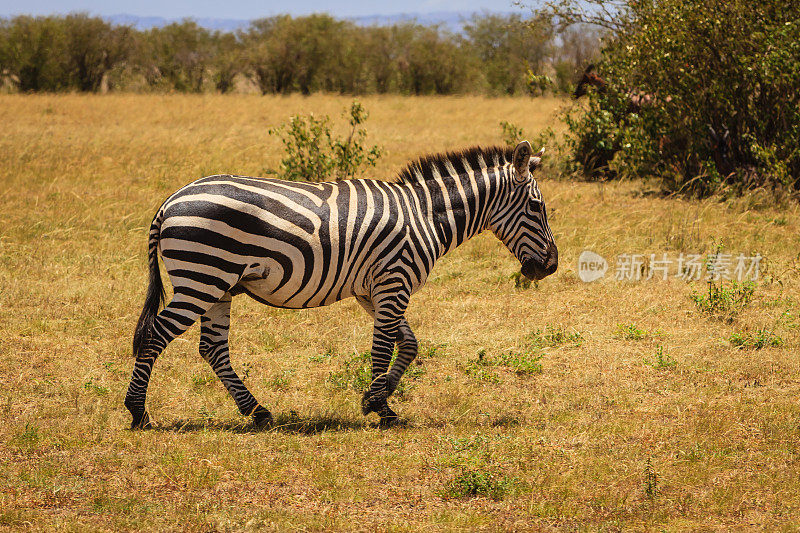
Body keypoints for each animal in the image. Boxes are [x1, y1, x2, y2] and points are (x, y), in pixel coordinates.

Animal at [126, 140, 556, 428]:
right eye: (538, 207)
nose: (551, 266)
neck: (426, 215)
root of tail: (169, 202)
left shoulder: (373, 290)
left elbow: (409, 344)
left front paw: (376, 400)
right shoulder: (394, 281)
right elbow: (383, 348)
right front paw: (380, 409)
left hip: (218, 285)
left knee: (212, 348)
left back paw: (258, 412)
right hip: (202, 278)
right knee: (156, 335)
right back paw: (138, 412)